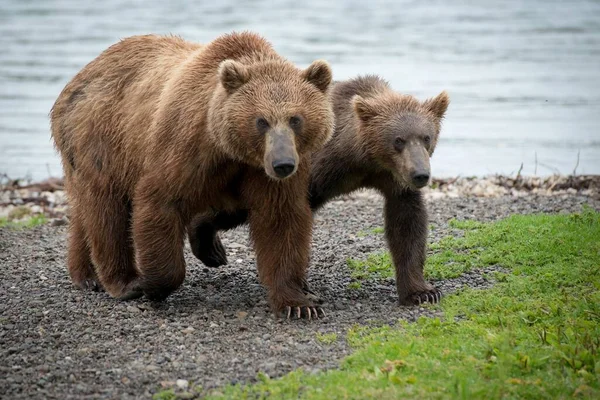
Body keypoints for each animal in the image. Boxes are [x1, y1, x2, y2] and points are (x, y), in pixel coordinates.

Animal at [50, 32, 332, 318]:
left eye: (296, 119)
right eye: (261, 121)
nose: (283, 164)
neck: (231, 151)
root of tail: (81, 75)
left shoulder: (264, 173)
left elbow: (280, 221)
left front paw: (298, 303)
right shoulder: (186, 147)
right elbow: (161, 199)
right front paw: (153, 285)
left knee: (87, 213)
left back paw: (88, 275)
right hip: (103, 140)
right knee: (107, 212)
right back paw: (122, 282)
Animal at [190, 76, 448, 306]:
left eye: (426, 137)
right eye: (398, 140)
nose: (420, 174)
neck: (362, 160)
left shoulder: (395, 182)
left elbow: (407, 223)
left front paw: (422, 292)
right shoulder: (316, 168)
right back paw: (207, 245)